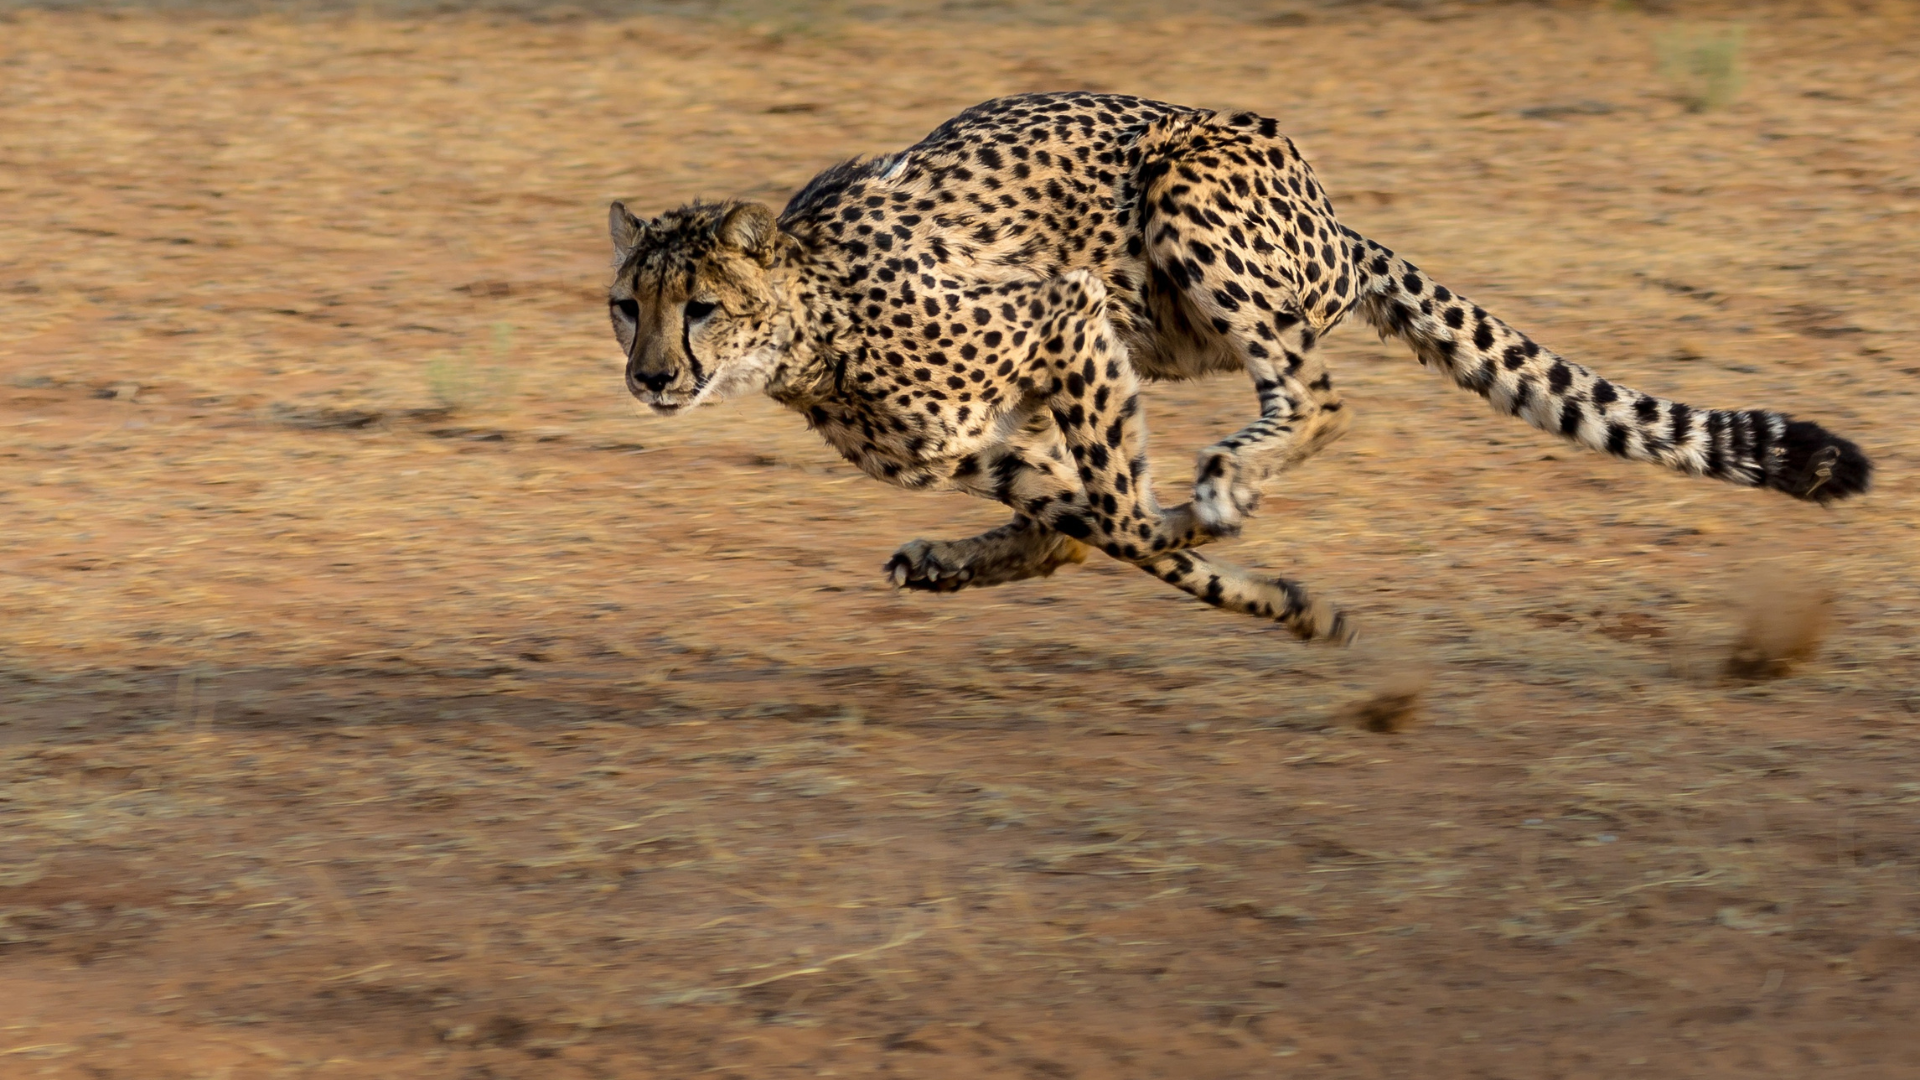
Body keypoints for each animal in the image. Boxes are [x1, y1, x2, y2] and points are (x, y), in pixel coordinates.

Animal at [610, 92, 1873, 638]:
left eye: (702, 308)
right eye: (629, 307)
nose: (652, 378)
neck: (809, 329)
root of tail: (1332, 213)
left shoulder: (1065, 312)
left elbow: (1121, 521)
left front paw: (1261, 580)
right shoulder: (987, 439)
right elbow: (1091, 525)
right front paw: (1268, 593)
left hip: (1186, 204)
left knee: (1316, 394)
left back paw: (1227, 482)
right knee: (1091, 516)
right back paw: (975, 558)